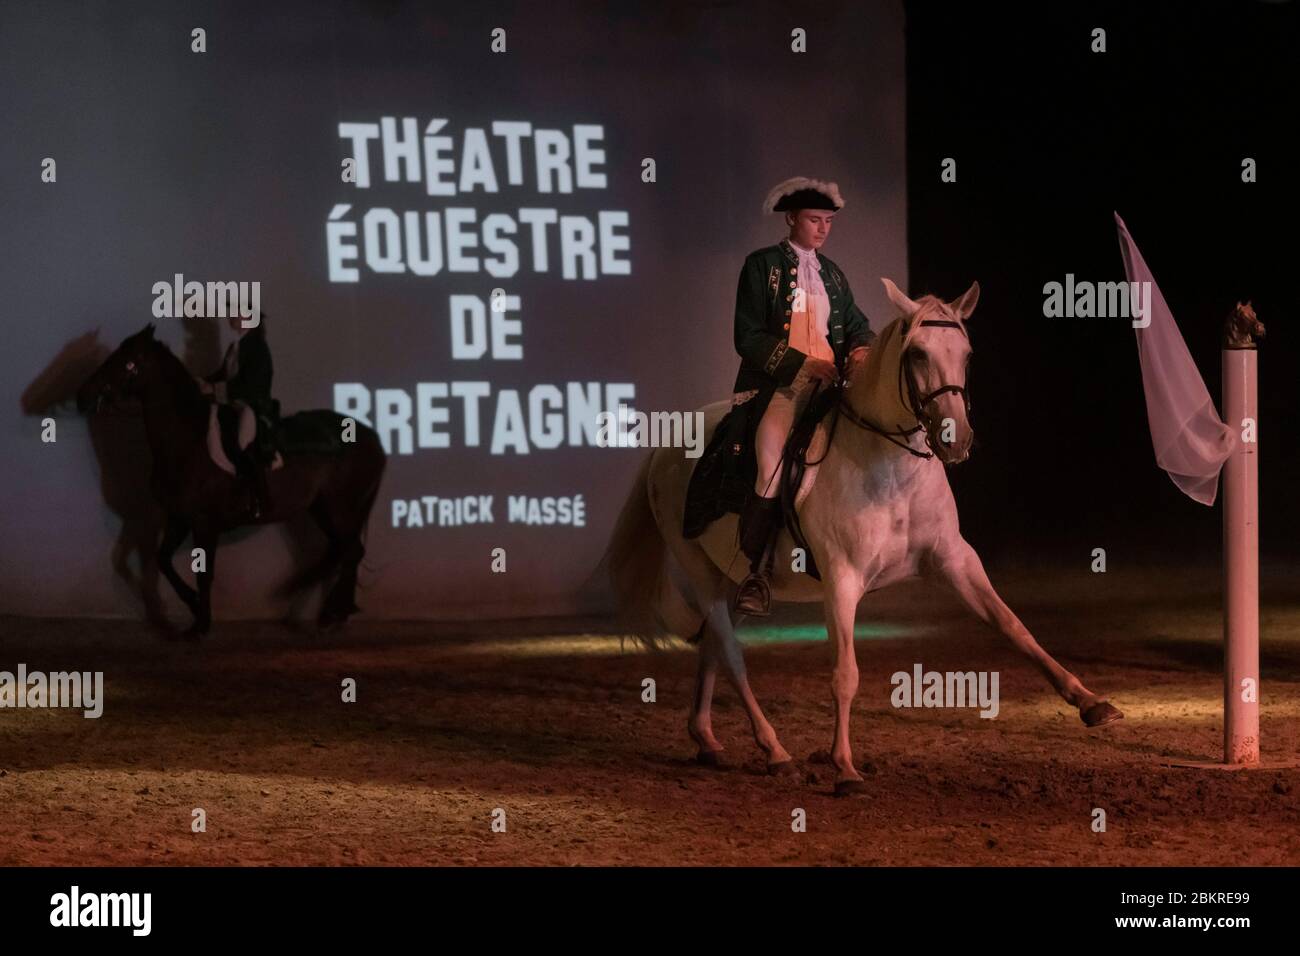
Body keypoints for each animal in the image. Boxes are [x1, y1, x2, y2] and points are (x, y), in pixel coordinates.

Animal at [78, 325, 384, 639]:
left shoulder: (203, 523)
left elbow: (204, 573)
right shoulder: (178, 517)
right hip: (324, 510)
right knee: (342, 552)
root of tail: (372, 438)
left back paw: (327, 609)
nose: (83, 394)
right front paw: (192, 606)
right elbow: (162, 560)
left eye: (128, 363)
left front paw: (200, 625)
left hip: (340, 510)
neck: (187, 441)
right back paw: (330, 611)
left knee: (350, 551)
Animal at [603, 280, 1123, 796]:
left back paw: (707, 739)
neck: (889, 464)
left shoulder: (955, 560)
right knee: (730, 654)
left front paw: (1091, 702)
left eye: (967, 354)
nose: (955, 439)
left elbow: (1014, 625)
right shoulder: (842, 578)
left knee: (714, 645)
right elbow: (845, 674)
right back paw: (775, 751)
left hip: (733, 579)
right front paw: (845, 767)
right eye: (917, 353)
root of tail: (666, 447)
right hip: (701, 573)